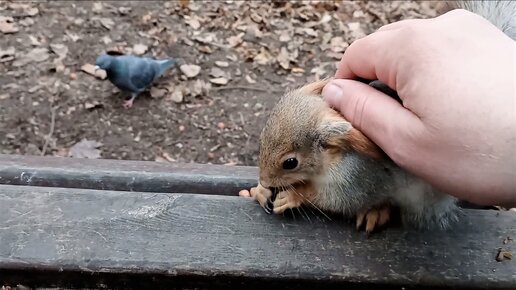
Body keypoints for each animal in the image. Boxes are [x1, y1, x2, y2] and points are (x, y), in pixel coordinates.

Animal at [243, 0, 516, 234]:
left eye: (290, 162)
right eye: (262, 138)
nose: (265, 179)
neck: (328, 163)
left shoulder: (359, 177)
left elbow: (339, 200)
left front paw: (294, 194)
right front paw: (260, 191)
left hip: (420, 198)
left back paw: (376, 212)